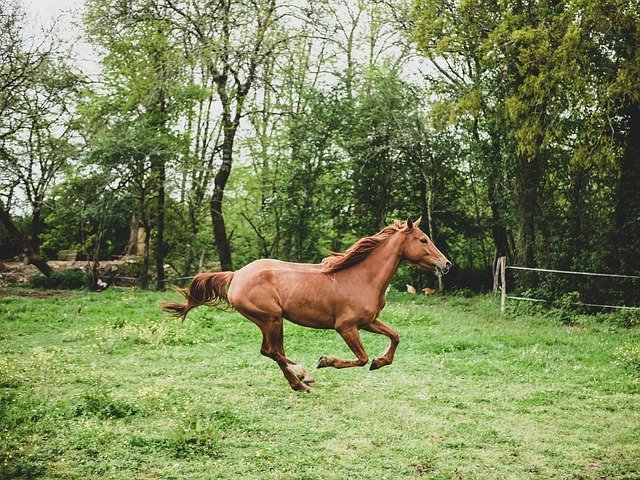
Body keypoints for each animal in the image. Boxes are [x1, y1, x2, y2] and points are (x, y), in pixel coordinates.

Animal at [160, 217, 450, 390]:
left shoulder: (368, 322)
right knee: (271, 351)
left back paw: (299, 381)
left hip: (274, 322)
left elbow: (395, 336)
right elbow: (360, 358)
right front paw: (326, 361)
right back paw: (303, 377)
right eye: (424, 240)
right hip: (270, 319)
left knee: (273, 351)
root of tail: (237, 274)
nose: (446, 264)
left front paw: (380, 362)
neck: (362, 277)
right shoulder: (346, 327)